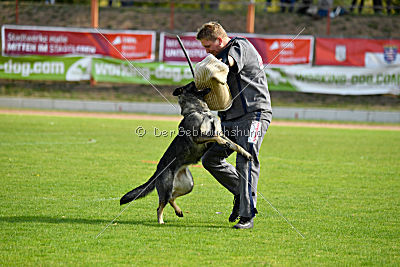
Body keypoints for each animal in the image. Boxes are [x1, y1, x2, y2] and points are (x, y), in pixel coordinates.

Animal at [120, 82, 252, 225]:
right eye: (192, 85)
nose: (196, 81)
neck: (200, 111)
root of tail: (157, 171)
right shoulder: (199, 136)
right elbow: (215, 137)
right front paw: (222, 142)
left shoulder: (219, 133)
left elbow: (236, 145)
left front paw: (246, 153)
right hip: (167, 188)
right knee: (161, 206)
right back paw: (161, 221)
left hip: (188, 185)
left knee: (171, 198)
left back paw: (178, 211)